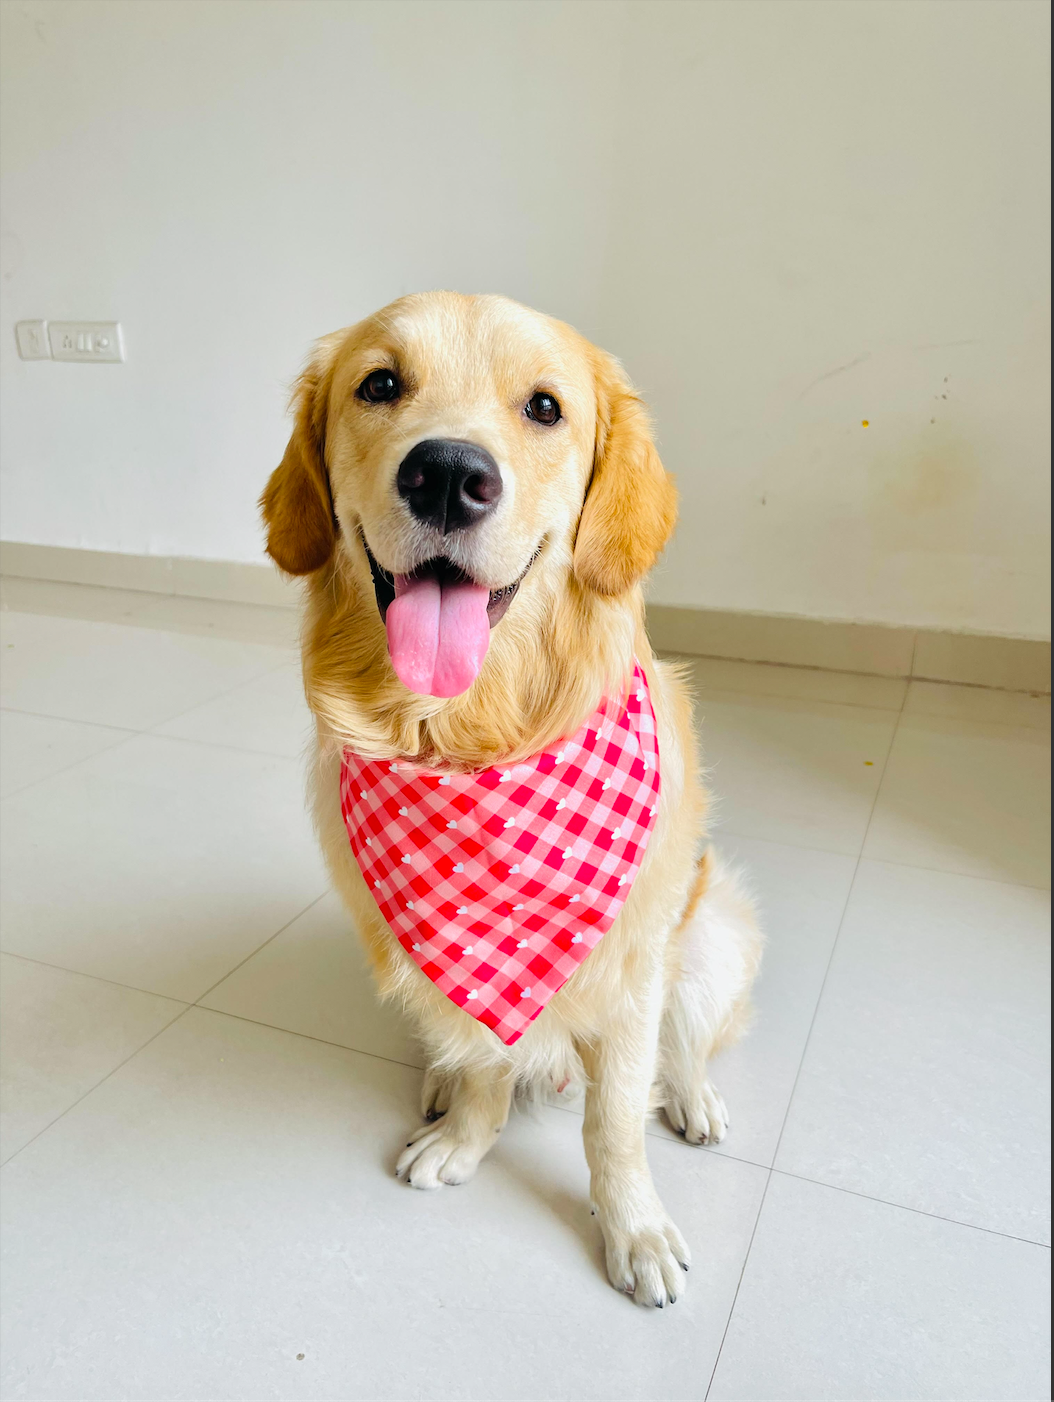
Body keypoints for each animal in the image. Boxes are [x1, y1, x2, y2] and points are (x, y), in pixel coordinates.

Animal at [260, 290, 762, 1306]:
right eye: (380, 384)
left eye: (543, 408)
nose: (449, 475)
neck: (468, 743)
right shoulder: (456, 964)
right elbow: (487, 1055)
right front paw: (464, 1135)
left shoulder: (632, 968)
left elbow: (615, 1118)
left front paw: (635, 1229)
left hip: (715, 935)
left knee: (683, 1046)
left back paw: (692, 1098)